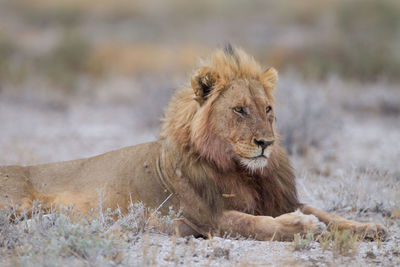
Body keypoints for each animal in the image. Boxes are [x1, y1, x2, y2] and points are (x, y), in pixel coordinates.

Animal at [0, 45, 388, 241]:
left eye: (267, 109)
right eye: (240, 110)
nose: (266, 142)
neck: (243, 172)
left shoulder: (280, 199)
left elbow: (326, 213)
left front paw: (369, 227)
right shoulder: (205, 219)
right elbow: (258, 224)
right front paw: (303, 227)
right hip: (17, 203)